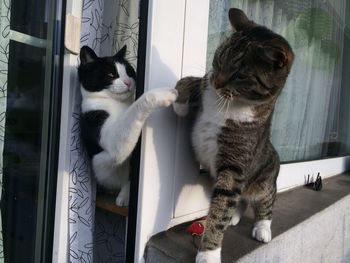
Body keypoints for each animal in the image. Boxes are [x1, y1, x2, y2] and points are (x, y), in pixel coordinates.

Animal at [78, 44, 178, 206]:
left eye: (129, 72)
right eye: (111, 74)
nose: (128, 82)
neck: (120, 104)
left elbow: (130, 175)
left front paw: (125, 196)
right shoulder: (100, 126)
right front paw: (163, 94)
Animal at [174, 7, 294, 262]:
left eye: (240, 75)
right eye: (219, 58)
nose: (217, 82)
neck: (230, 102)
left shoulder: (234, 167)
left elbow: (220, 210)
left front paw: (208, 253)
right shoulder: (205, 84)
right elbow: (188, 80)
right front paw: (180, 105)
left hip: (265, 180)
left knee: (265, 203)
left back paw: (262, 229)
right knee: (239, 202)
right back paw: (236, 217)